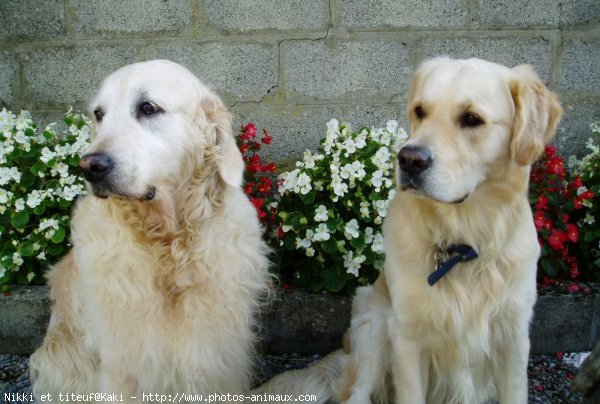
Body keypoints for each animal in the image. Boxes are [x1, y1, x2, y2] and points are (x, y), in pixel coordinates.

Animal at [29, 60, 270, 400]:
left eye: (148, 107)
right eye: (99, 114)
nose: (90, 166)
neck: (169, 245)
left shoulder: (216, 356)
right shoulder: (124, 364)